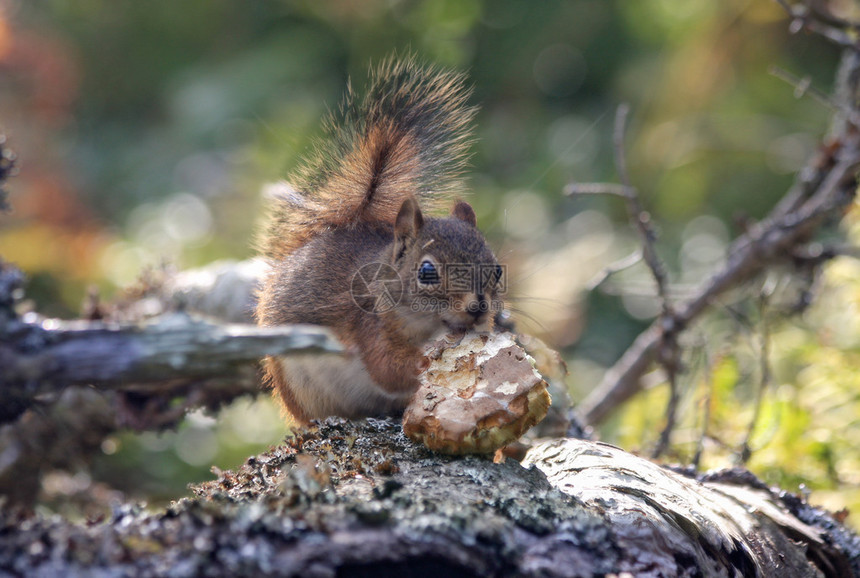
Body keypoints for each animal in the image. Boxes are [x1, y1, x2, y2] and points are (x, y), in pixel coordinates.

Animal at [255, 56, 504, 420]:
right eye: (426, 272)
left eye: (497, 270)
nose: (478, 307)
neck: (427, 326)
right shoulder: (368, 325)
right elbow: (387, 368)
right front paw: (425, 362)